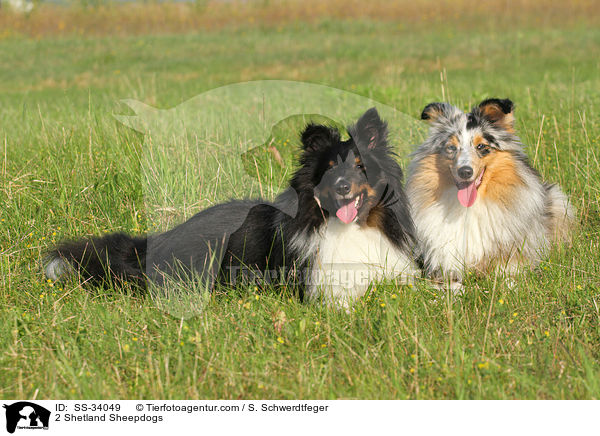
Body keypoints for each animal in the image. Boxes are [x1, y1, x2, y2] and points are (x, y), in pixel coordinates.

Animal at [406, 99, 576, 290]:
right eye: (451, 147)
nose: (465, 171)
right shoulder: (442, 262)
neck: (468, 208)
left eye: (481, 146)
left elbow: (507, 275)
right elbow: (450, 282)